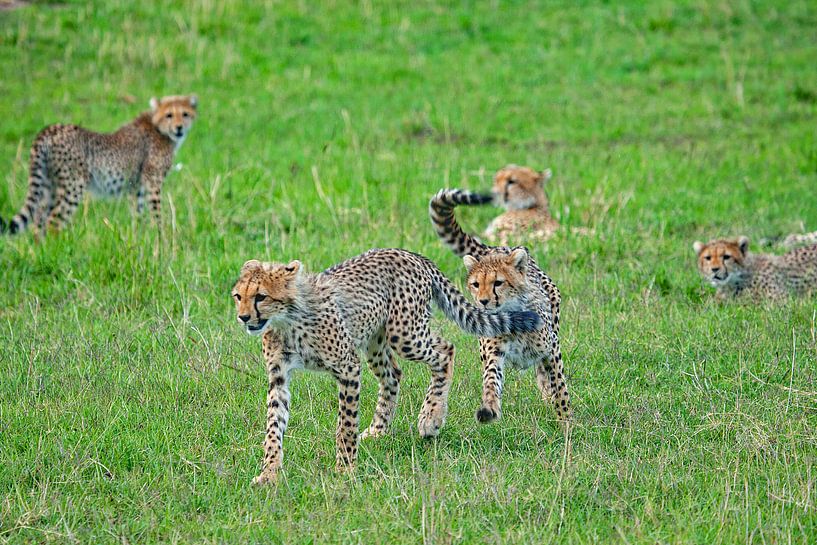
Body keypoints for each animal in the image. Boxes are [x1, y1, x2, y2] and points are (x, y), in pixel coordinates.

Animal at [0, 95, 197, 235]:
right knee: (53, 221)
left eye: (185, 114)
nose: (179, 127)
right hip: (74, 185)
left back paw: (41, 251)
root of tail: (50, 129)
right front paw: (161, 237)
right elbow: (156, 212)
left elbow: (138, 213)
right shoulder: (152, 181)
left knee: (38, 220)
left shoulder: (137, 186)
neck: (158, 127)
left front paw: (141, 238)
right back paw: (59, 248)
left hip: (50, 184)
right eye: (169, 115)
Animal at [231, 248, 542, 484]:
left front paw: (345, 469)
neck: (287, 320)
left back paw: (431, 418)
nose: (243, 317)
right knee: (393, 374)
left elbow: (345, 425)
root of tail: (411, 254)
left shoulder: (347, 366)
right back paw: (379, 429)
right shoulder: (279, 378)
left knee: (446, 350)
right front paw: (269, 473)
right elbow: (274, 427)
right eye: (238, 296)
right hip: (375, 339)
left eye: (261, 296)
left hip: (404, 334)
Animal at [429, 188, 571, 427]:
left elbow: (560, 386)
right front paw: (490, 408)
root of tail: (497, 248)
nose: (483, 301)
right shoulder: (493, 353)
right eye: (476, 284)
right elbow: (491, 381)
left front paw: (566, 421)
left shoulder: (552, 350)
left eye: (498, 282)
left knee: (544, 374)